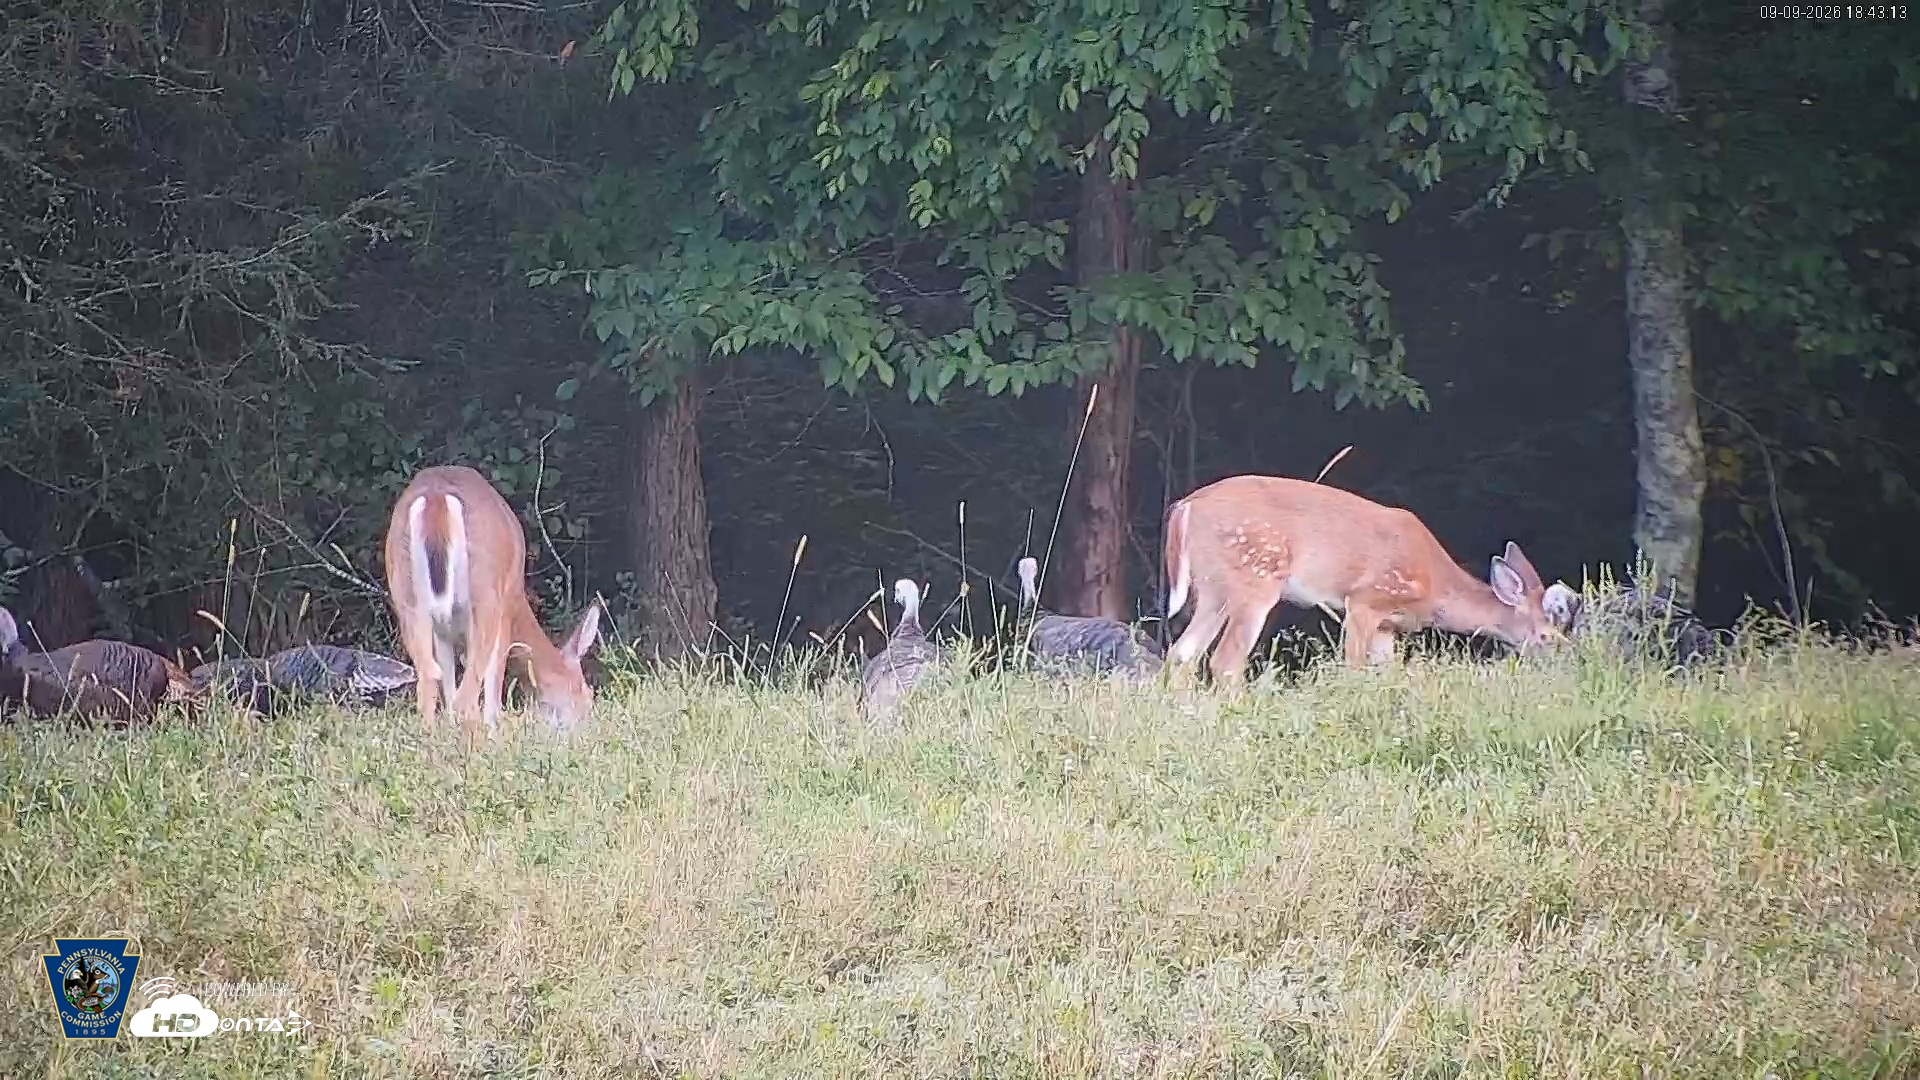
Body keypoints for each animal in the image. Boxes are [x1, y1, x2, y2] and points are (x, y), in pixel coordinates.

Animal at [383, 465, 603, 739]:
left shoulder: (444, 630)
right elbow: (494, 677)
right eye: (587, 694)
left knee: (429, 677)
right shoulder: (505, 607)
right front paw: (494, 730)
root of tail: (436, 499)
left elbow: (448, 678)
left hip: (406, 596)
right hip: (484, 596)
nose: (589, 728)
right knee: (466, 694)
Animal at [1161, 473, 1562, 685]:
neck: (1435, 587)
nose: (1564, 664)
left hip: (1214, 587)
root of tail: (1186, 506)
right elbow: (1354, 668)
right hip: (1256, 576)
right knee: (1225, 660)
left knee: (1182, 652)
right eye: (1548, 636)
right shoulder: (1366, 599)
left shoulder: (1388, 626)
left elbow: (1386, 674)